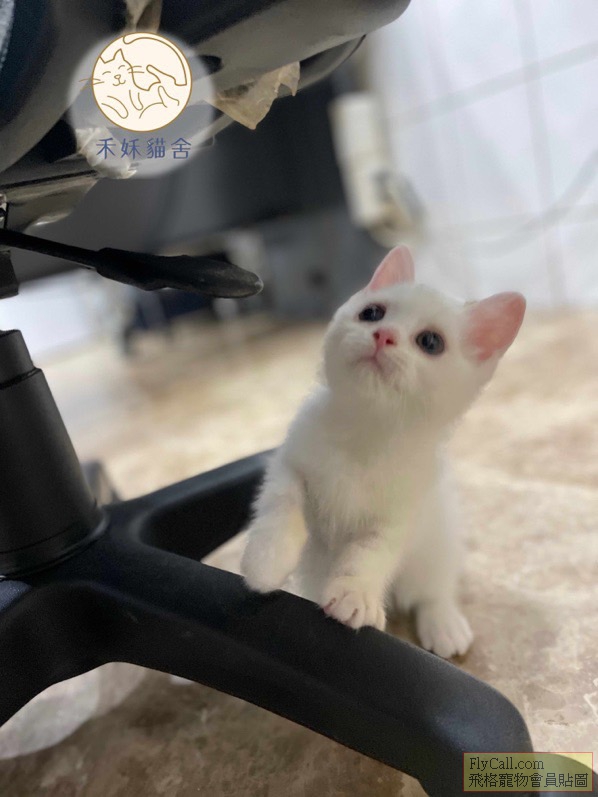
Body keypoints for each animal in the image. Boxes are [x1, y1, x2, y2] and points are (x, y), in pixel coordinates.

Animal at [240, 245, 526, 658]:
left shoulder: (399, 515)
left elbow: (369, 555)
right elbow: (281, 507)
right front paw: (267, 559)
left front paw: (355, 594)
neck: (366, 432)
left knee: (434, 588)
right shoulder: (290, 462)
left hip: (435, 543)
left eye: (430, 342)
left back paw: (444, 623)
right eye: (372, 313)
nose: (384, 334)